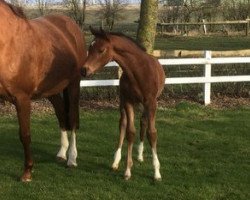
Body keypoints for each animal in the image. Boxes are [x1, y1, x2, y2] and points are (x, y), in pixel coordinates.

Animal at [0, 0, 87, 181]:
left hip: (74, 84)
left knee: (72, 118)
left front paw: (27, 172)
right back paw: (61, 153)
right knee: (61, 114)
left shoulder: (22, 99)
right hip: (51, 90)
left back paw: (71, 158)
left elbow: (25, 135)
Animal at [81, 27, 165, 180]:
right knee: (123, 124)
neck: (138, 71)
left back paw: (140, 155)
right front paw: (127, 170)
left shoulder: (151, 103)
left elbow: (152, 133)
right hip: (122, 103)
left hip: (145, 105)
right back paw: (116, 161)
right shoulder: (128, 102)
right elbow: (130, 132)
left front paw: (157, 172)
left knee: (143, 122)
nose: (84, 70)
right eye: (89, 48)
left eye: (101, 50)